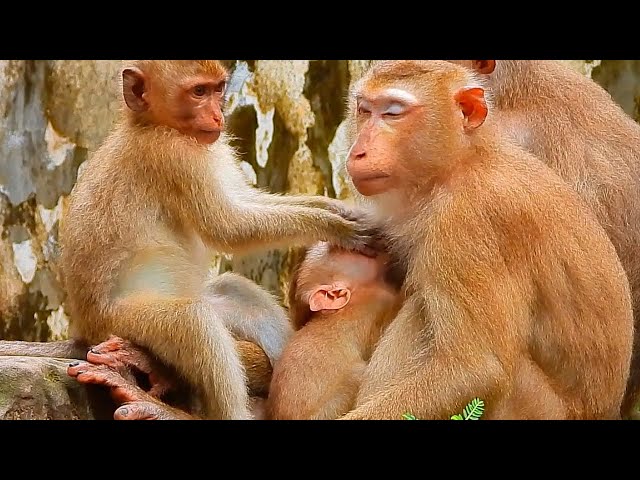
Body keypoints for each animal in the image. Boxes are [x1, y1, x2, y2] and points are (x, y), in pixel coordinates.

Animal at [57, 60, 376, 420]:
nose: (217, 117)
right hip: (123, 322)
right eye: (198, 92)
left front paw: (336, 209)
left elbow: (244, 202)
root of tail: (85, 328)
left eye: (217, 89)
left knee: (234, 291)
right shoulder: (174, 156)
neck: (153, 124)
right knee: (194, 322)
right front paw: (333, 226)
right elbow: (228, 227)